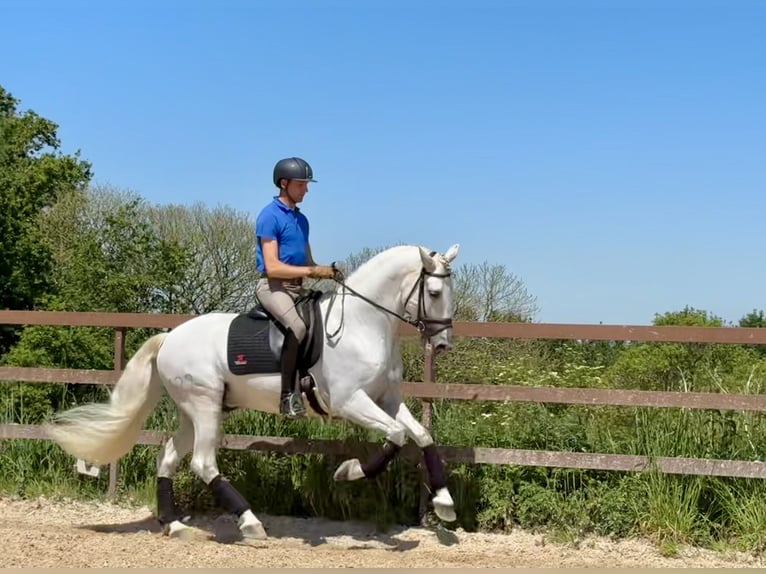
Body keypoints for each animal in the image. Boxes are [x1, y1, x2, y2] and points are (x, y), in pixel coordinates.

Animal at [45, 243, 462, 544]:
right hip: (204, 405)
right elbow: (396, 435)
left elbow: (421, 435)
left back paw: (175, 526)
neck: (362, 325)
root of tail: (170, 338)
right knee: (203, 463)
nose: (442, 344)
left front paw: (444, 503)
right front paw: (349, 472)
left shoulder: (386, 400)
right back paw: (250, 523)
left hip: (193, 411)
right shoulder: (350, 402)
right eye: (434, 291)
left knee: (168, 458)